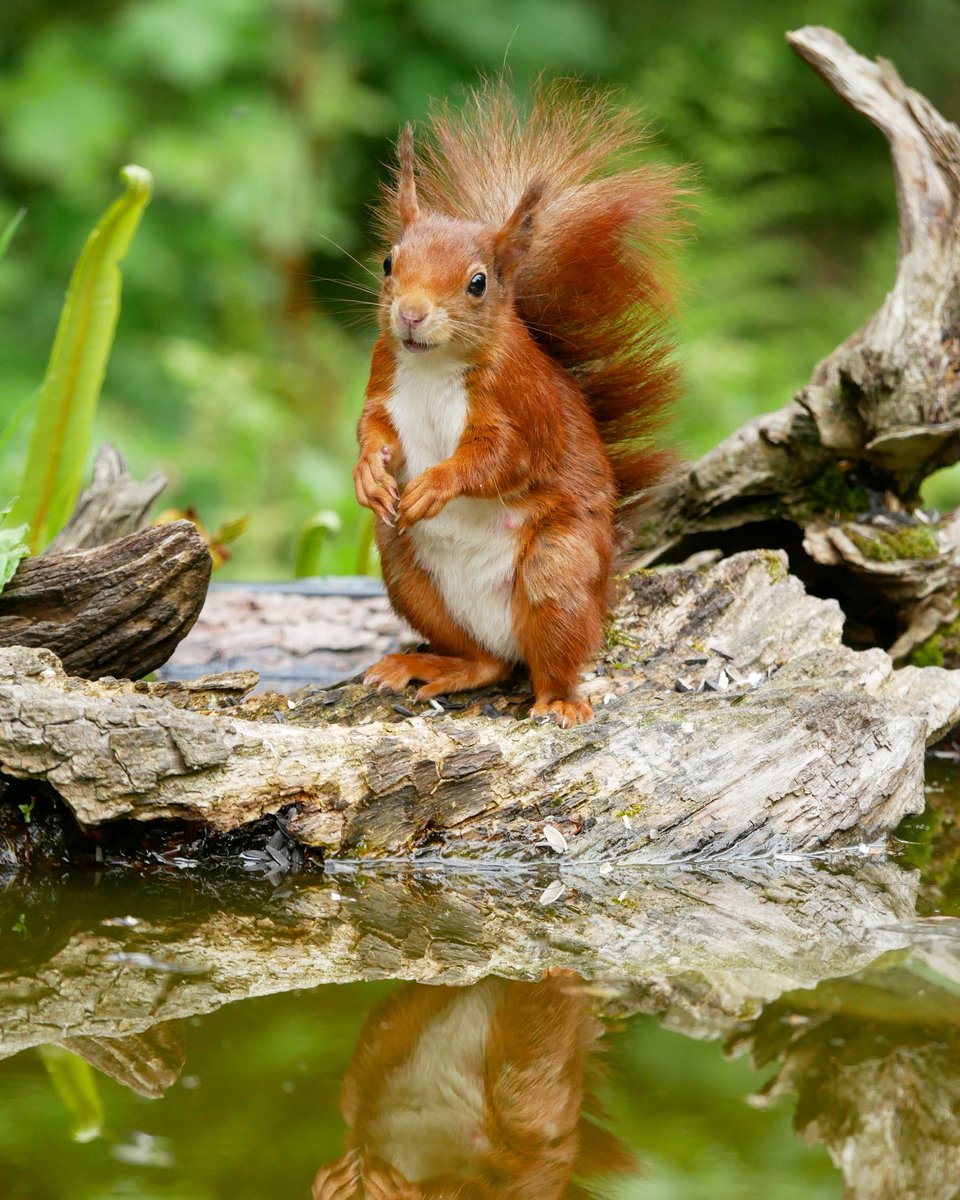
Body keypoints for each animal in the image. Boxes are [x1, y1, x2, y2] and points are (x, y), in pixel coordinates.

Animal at [354, 80, 683, 727]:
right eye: (387, 262)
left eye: (477, 282)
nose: (410, 314)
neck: (432, 366)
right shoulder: (384, 378)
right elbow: (372, 427)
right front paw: (369, 477)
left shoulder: (521, 404)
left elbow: (501, 458)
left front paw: (435, 484)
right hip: (407, 571)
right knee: (487, 663)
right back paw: (433, 666)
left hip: (556, 572)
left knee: (551, 656)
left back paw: (560, 702)